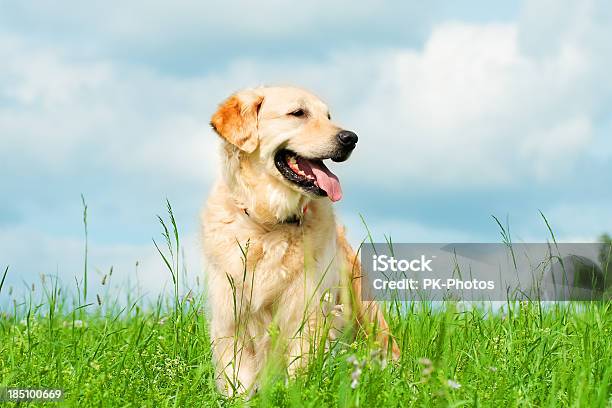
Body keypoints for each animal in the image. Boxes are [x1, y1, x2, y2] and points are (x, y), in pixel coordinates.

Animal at [202, 86, 402, 396]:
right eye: (298, 113)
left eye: (328, 116)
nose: (351, 138)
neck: (269, 224)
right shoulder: (230, 317)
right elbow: (237, 379)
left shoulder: (306, 313)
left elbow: (299, 370)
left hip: (366, 316)